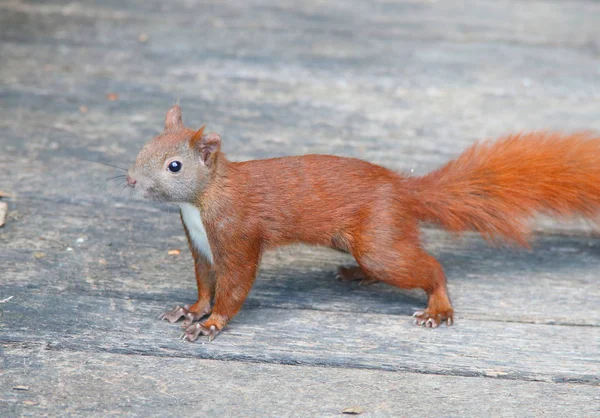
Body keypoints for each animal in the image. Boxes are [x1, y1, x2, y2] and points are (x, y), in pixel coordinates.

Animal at [125, 103, 600, 340]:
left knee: (430, 267)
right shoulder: (200, 243)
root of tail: (403, 190)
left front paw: (211, 325)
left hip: (379, 242)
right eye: (142, 147)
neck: (201, 202)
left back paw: (437, 308)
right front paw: (190, 310)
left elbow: (234, 286)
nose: (129, 180)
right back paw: (357, 275)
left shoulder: (238, 233)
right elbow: (206, 284)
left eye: (174, 166)